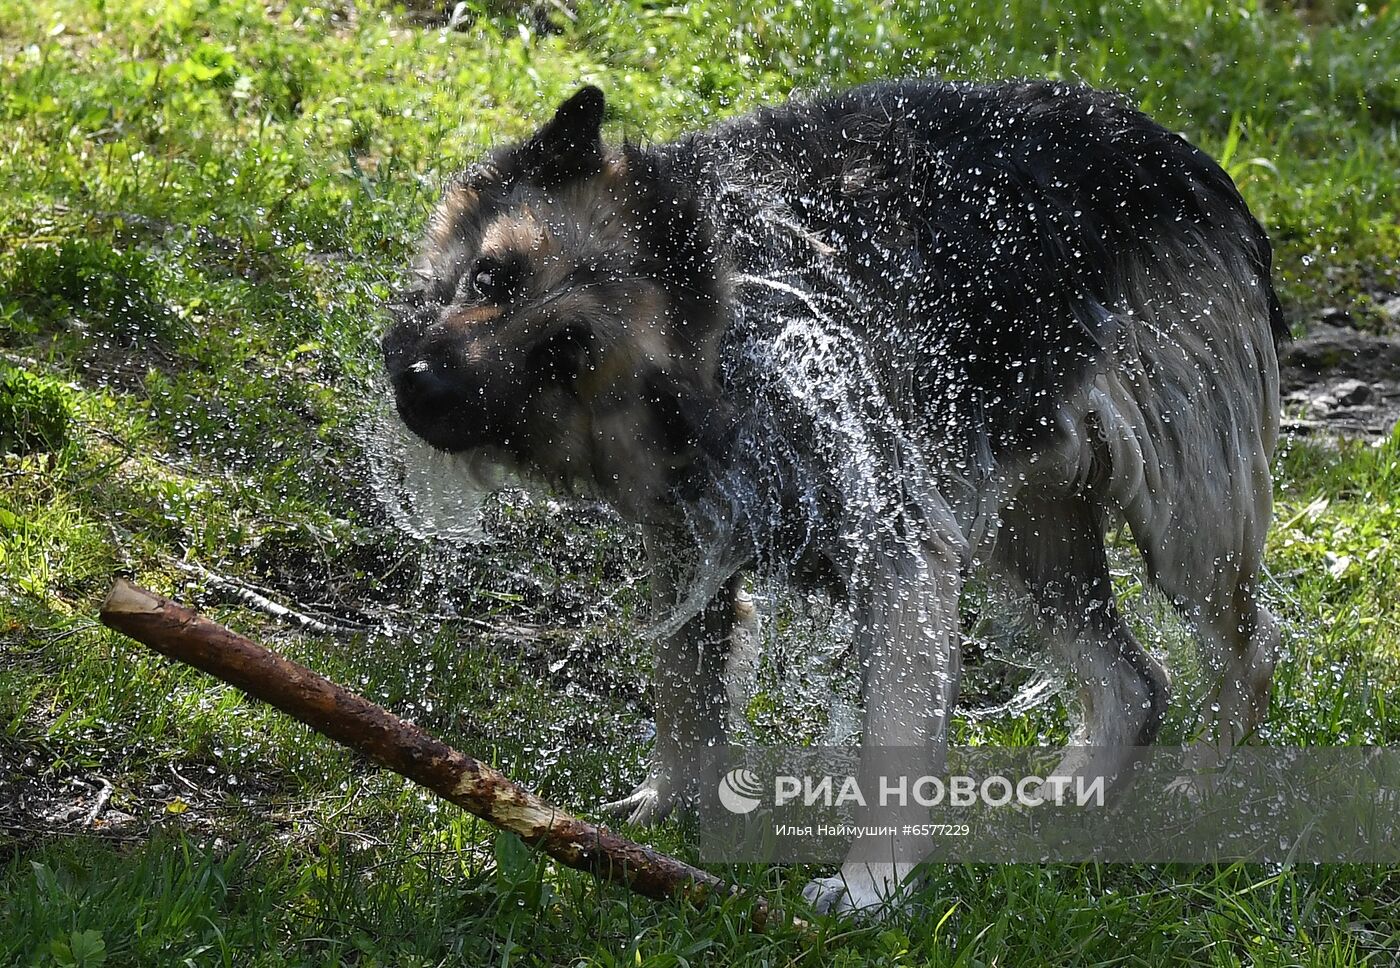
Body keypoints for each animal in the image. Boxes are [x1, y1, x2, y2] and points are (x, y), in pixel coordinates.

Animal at [380, 83, 1282, 918]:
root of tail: (1184, 158)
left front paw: (868, 888)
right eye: (490, 274)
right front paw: (665, 811)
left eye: (562, 356)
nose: (418, 386)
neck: (728, 315)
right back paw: (1064, 806)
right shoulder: (686, 546)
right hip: (1034, 538)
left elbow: (892, 746)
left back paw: (1201, 785)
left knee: (1248, 647)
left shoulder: (900, 552)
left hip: (1185, 526)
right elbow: (685, 690)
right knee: (1136, 681)